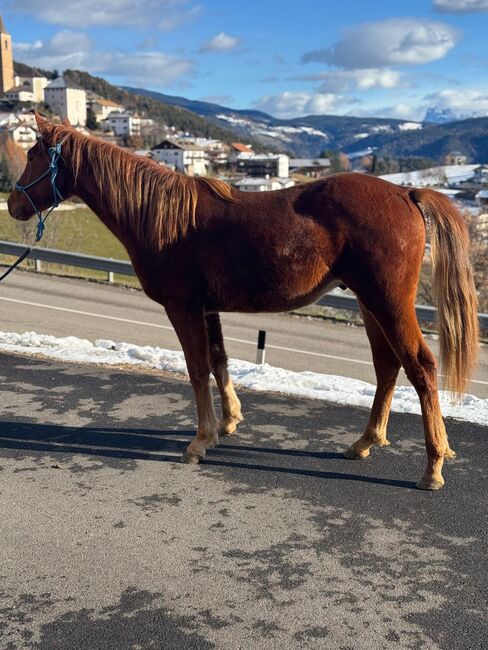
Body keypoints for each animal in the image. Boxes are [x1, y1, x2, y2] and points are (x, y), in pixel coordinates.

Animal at [6, 116, 476, 488]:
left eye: (33, 154)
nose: (12, 204)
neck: (163, 217)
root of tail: (406, 193)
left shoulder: (183, 308)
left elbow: (197, 369)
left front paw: (199, 441)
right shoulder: (207, 308)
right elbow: (218, 360)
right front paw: (228, 422)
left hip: (387, 302)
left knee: (420, 367)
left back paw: (433, 466)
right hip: (368, 303)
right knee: (387, 366)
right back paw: (365, 442)